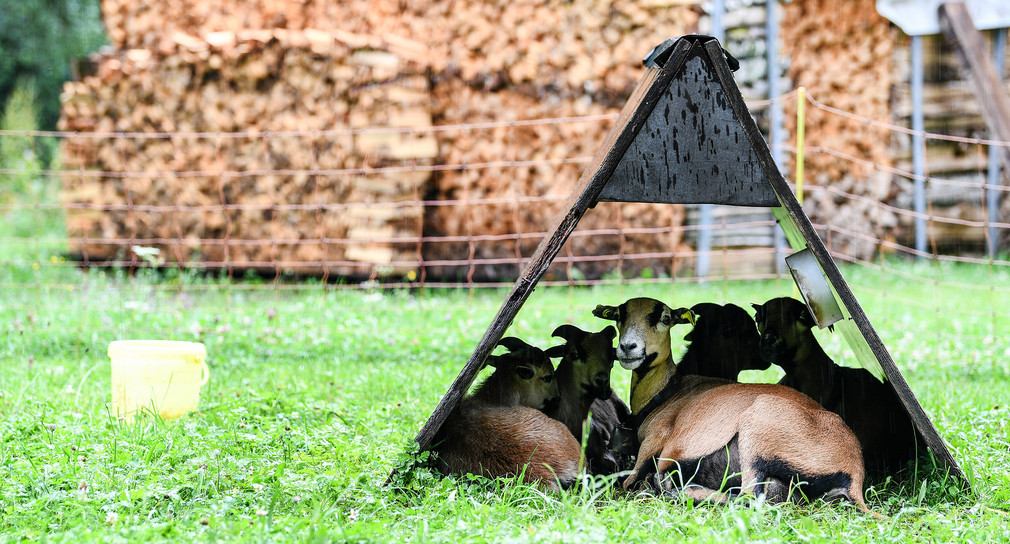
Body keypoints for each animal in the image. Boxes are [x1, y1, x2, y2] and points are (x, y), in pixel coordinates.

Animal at [593, 298, 872, 514]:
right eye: (619, 316)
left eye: (664, 318)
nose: (627, 348)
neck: (668, 391)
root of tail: (853, 473)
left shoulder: (652, 446)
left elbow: (628, 482)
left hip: (757, 436)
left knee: (750, 497)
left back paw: (671, 489)